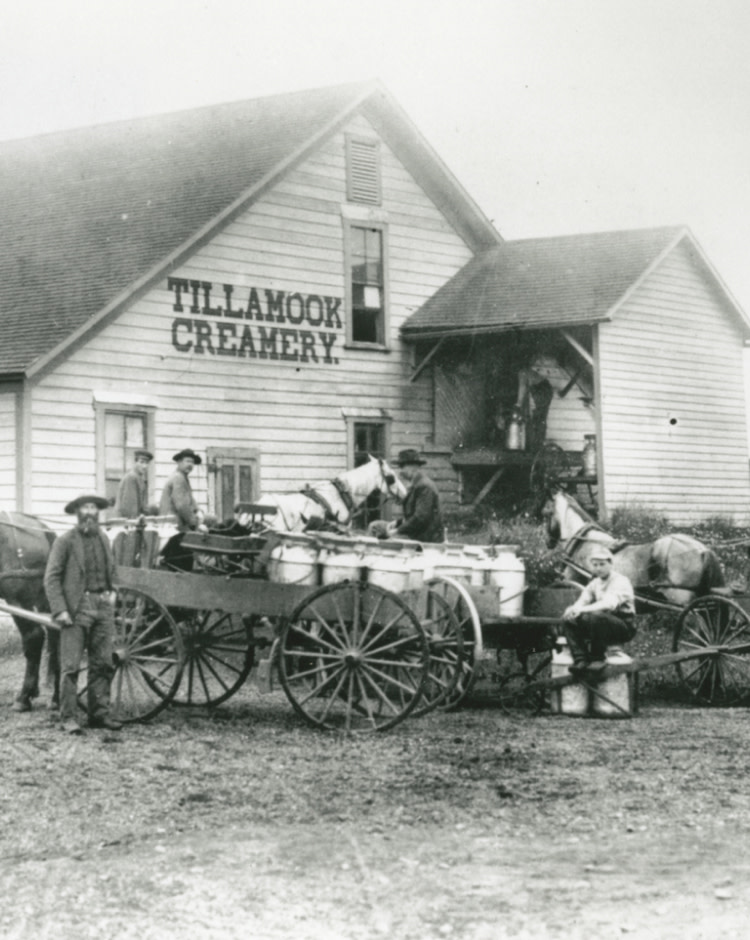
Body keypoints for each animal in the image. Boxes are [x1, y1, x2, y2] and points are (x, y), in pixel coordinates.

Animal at [0, 511, 59, 711]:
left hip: (17, 599)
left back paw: (24, 697)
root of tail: (41, 529)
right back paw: (54, 697)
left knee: (34, 636)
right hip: (41, 599)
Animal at [543, 488, 725, 607]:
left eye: (546, 513)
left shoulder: (572, 582)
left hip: (680, 598)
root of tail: (702, 550)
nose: (548, 542)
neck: (584, 541)